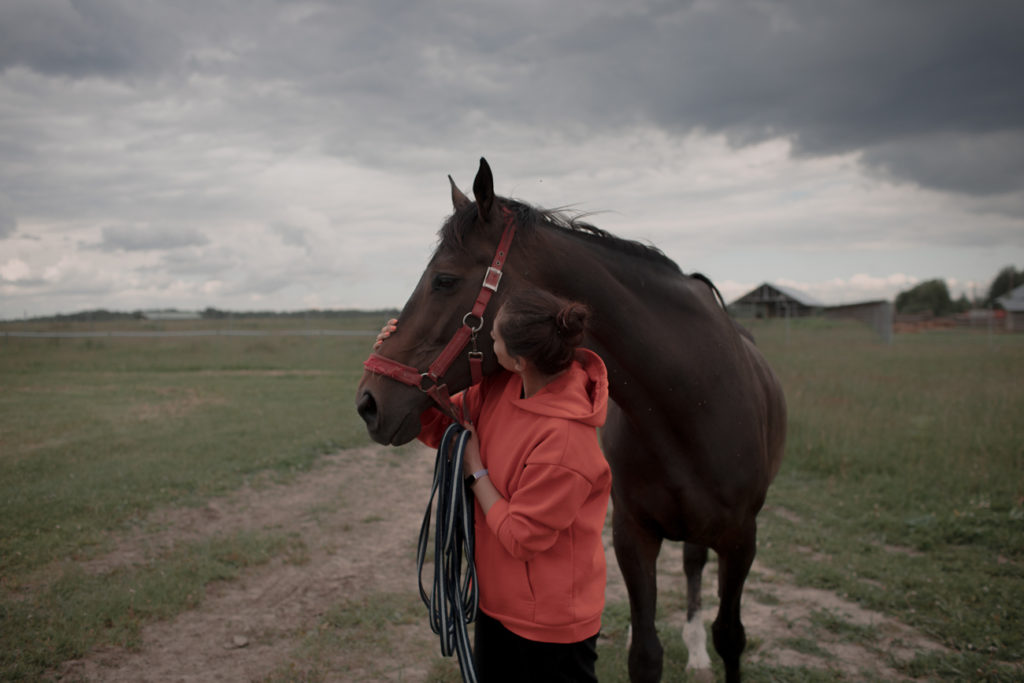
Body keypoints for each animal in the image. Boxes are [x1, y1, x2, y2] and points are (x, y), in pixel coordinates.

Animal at [356, 158, 786, 683]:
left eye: (444, 279)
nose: (369, 402)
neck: (694, 405)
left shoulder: (742, 539)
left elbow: (731, 636)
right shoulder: (632, 534)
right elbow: (645, 653)